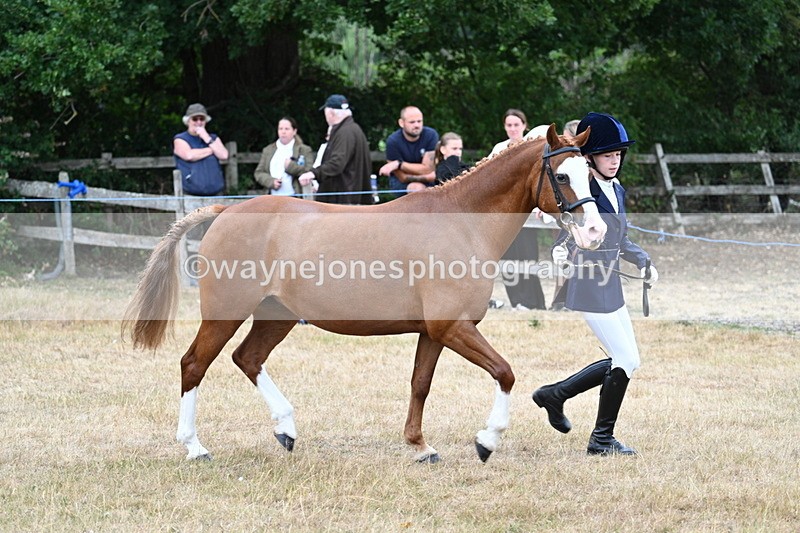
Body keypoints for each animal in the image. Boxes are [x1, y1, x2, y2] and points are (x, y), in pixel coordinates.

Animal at [123, 124, 606, 463]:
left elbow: (420, 384)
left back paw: (286, 430)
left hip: (276, 315)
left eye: (592, 174)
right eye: (562, 175)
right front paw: (486, 441)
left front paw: (420, 446)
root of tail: (227, 211)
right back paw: (195, 447)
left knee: (248, 359)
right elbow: (504, 372)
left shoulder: (434, 332)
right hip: (226, 312)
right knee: (194, 364)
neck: (460, 223)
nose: (596, 232)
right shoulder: (452, 327)